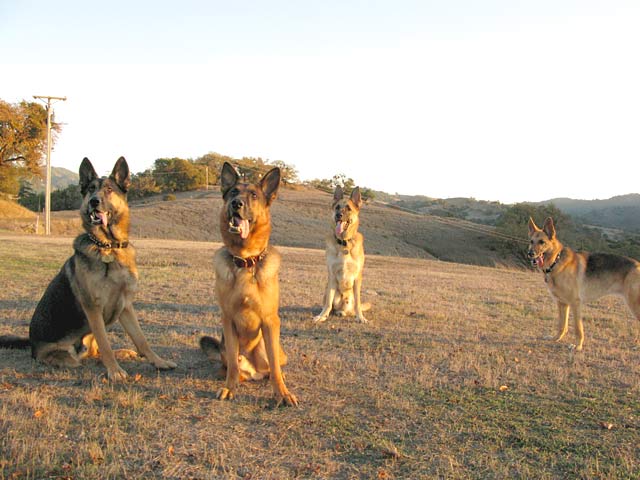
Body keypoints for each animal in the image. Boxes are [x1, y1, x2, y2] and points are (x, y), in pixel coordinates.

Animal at [0, 158, 178, 378]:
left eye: (109, 189)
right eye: (91, 189)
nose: (94, 201)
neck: (108, 247)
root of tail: (32, 345)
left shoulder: (126, 305)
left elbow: (141, 339)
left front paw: (159, 361)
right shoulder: (93, 308)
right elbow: (105, 344)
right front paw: (115, 372)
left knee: (94, 352)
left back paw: (123, 352)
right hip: (70, 345)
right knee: (78, 356)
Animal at [200, 163, 298, 406]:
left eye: (253, 195)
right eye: (233, 192)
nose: (237, 203)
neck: (245, 261)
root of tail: (255, 372)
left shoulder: (270, 321)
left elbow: (275, 369)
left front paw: (282, 394)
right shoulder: (228, 320)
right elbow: (233, 368)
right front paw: (229, 388)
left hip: (269, 345)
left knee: (273, 366)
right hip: (228, 348)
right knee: (232, 364)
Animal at [312, 186, 368, 324]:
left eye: (348, 208)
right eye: (337, 207)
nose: (338, 215)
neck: (344, 244)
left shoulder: (358, 277)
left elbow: (358, 303)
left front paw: (360, 317)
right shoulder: (332, 275)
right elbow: (328, 303)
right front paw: (321, 316)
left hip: (349, 300)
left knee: (350, 309)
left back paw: (344, 313)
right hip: (329, 292)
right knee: (331, 305)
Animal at [528, 217, 640, 348]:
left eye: (542, 242)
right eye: (531, 241)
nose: (530, 254)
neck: (556, 261)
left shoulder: (575, 303)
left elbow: (578, 328)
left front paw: (577, 346)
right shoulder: (562, 303)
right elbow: (562, 325)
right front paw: (556, 338)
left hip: (634, 305)